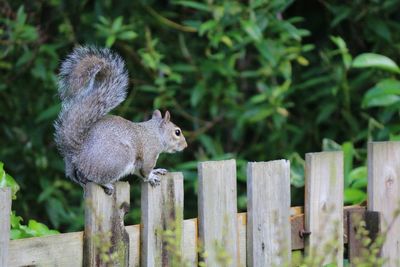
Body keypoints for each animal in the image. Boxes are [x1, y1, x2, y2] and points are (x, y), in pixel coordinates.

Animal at [53, 46, 189, 195]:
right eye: (177, 132)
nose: (185, 146)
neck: (155, 133)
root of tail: (77, 156)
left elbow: (139, 172)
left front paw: (156, 171)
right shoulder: (149, 154)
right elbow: (145, 172)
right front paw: (152, 176)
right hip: (120, 157)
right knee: (95, 178)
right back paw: (107, 184)